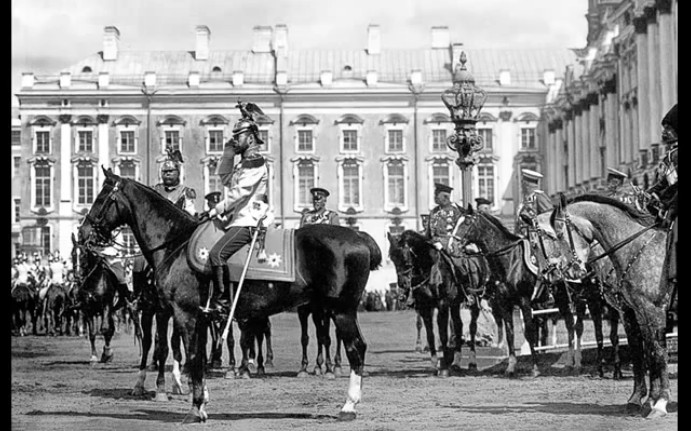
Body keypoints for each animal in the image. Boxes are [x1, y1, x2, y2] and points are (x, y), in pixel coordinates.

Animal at [80, 170, 384, 426]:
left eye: (102, 198)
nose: (83, 233)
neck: (175, 243)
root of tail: (359, 236)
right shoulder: (199, 316)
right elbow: (197, 356)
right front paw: (201, 401)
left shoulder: (185, 314)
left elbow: (192, 356)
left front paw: (196, 408)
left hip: (341, 310)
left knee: (355, 348)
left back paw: (348, 405)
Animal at [556, 195, 672, 418]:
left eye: (559, 234)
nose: (569, 271)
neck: (636, 248)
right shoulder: (634, 312)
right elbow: (643, 352)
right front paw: (642, 399)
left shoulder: (652, 310)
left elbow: (657, 353)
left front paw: (660, 402)